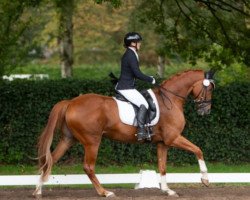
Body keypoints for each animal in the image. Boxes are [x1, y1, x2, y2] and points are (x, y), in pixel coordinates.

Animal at [32, 69, 215, 198]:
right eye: (209, 88)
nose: (205, 111)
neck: (169, 100)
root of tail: (71, 102)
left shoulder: (162, 143)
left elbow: (162, 166)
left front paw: (167, 190)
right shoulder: (173, 138)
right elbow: (198, 150)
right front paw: (205, 180)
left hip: (68, 139)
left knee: (49, 161)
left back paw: (38, 191)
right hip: (92, 141)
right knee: (88, 167)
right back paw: (105, 192)